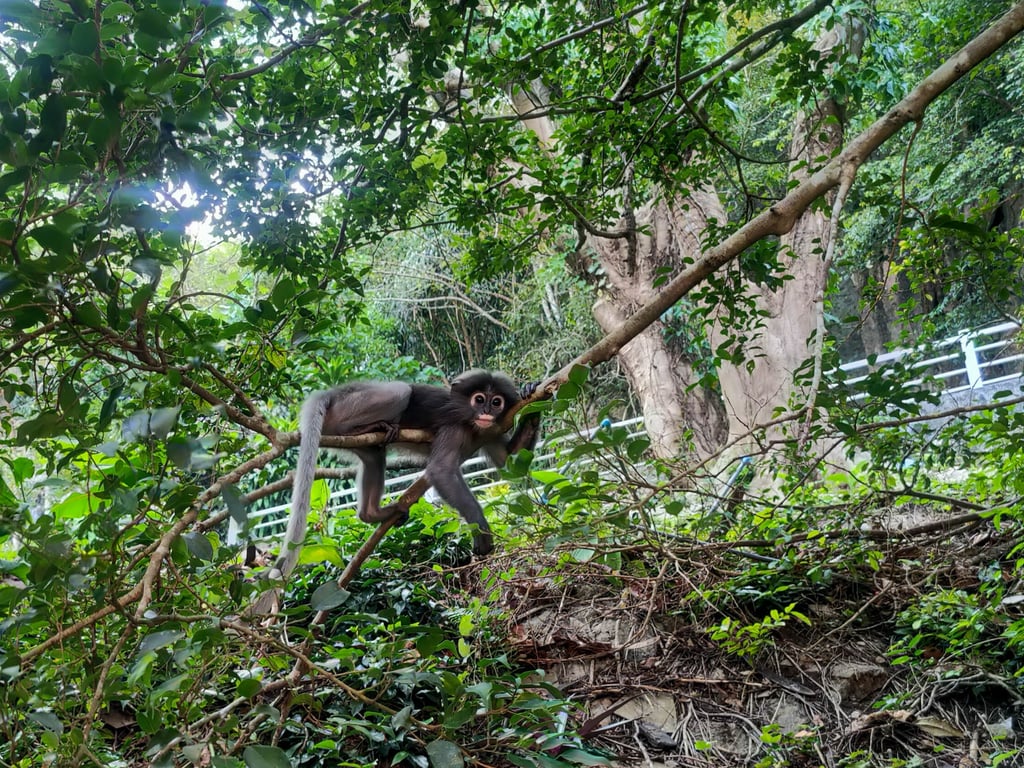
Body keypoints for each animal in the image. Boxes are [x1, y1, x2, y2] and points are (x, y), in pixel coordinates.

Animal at [256, 370, 540, 605]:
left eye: (496, 402)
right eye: (479, 399)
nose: (486, 413)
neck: (473, 423)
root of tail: (334, 393)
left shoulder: (491, 430)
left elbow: (510, 463)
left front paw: (533, 396)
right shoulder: (455, 427)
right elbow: (441, 470)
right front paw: (481, 530)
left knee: (373, 457)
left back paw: (372, 513)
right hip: (348, 408)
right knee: (400, 390)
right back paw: (366, 427)